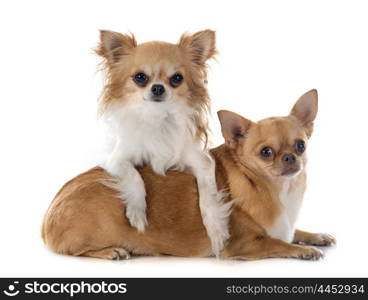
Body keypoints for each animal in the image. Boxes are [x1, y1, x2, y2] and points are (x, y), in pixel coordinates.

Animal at [41, 88, 334, 260]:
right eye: (266, 152)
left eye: (301, 145)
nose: (290, 157)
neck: (279, 189)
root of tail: (47, 217)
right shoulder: (243, 245)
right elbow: (280, 244)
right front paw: (305, 250)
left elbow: (294, 231)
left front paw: (316, 237)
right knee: (76, 251)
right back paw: (112, 251)